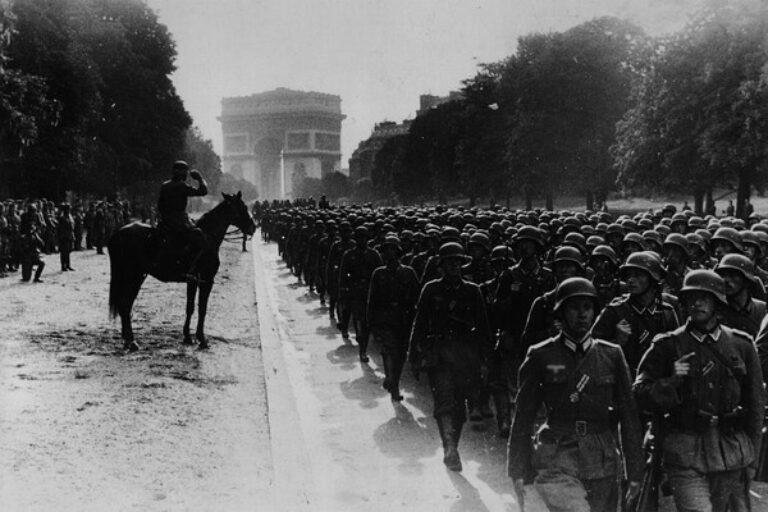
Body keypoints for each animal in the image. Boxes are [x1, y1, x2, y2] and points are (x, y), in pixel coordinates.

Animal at [107, 192, 255, 352]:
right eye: (243, 207)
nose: (253, 227)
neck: (208, 236)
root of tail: (118, 233)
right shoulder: (207, 281)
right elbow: (202, 308)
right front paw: (202, 339)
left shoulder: (193, 281)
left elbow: (190, 308)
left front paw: (188, 336)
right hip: (134, 276)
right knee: (125, 304)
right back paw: (132, 341)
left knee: (124, 305)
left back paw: (127, 340)